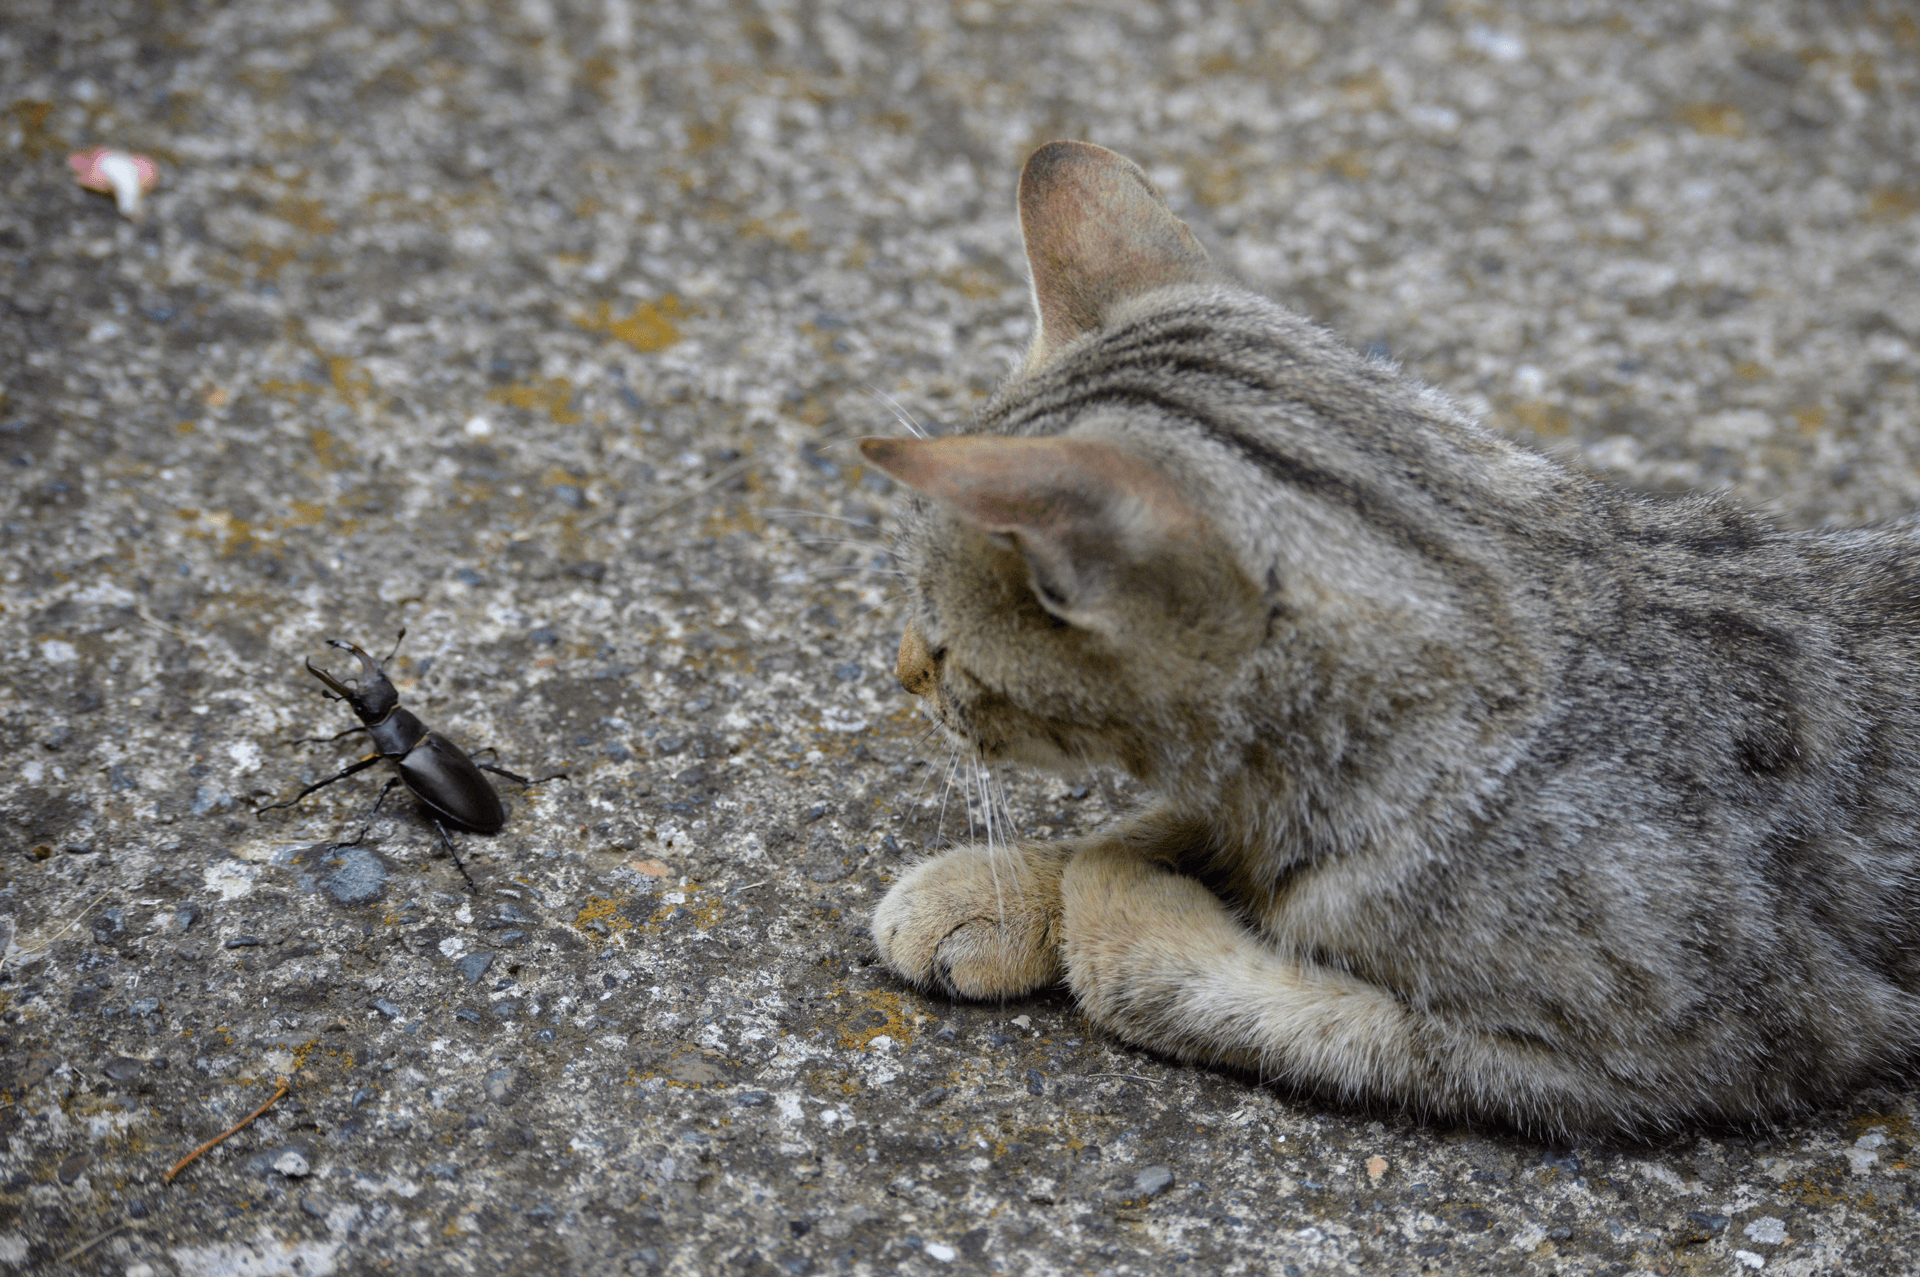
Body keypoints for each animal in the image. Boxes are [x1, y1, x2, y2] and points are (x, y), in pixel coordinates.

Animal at [864, 139, 1920, 1136]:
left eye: (942, 644)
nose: (902, 671)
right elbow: (1161, 821)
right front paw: (1006, 888)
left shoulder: (1699, 1044)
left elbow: (1243, 1000)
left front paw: (1109, 899)